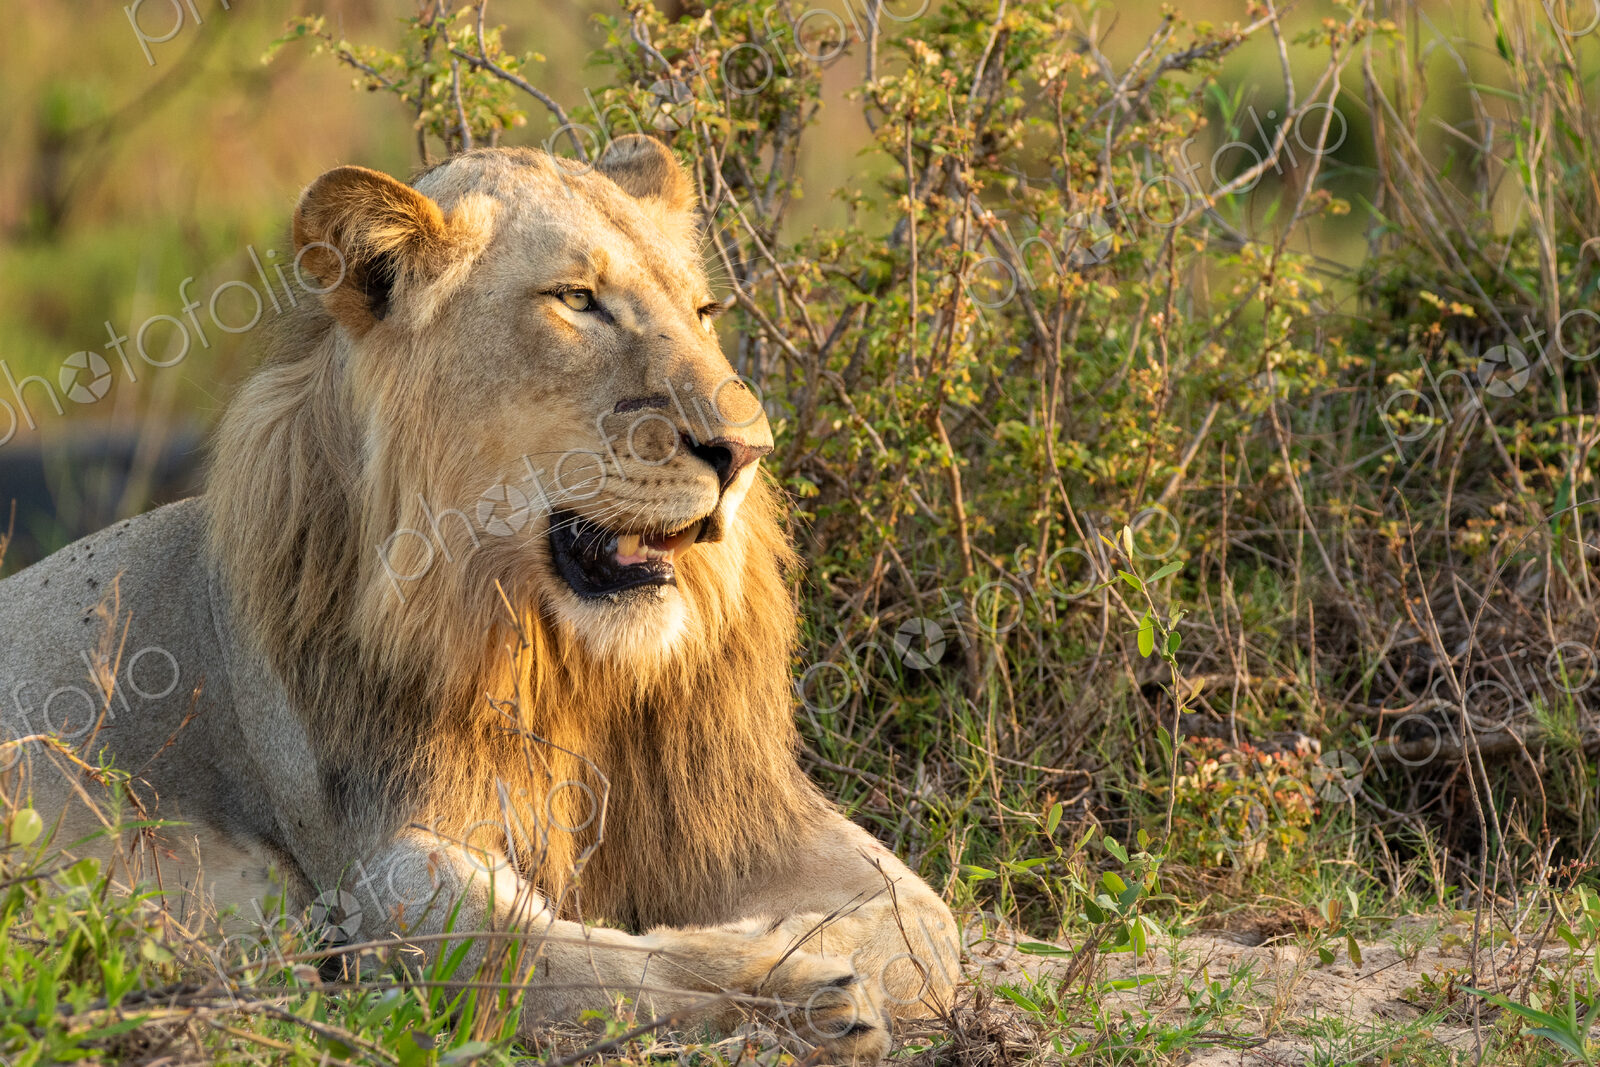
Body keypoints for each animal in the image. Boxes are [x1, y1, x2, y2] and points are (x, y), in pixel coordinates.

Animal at [0, 136, 959, 1061]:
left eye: (703, 312)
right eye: (577, 300)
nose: (748, 449)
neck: (559, 660)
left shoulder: (736, 812)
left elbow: (923, 924)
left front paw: (809, 943)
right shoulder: (369, 842)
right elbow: (514, 947)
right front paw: (797, 989)